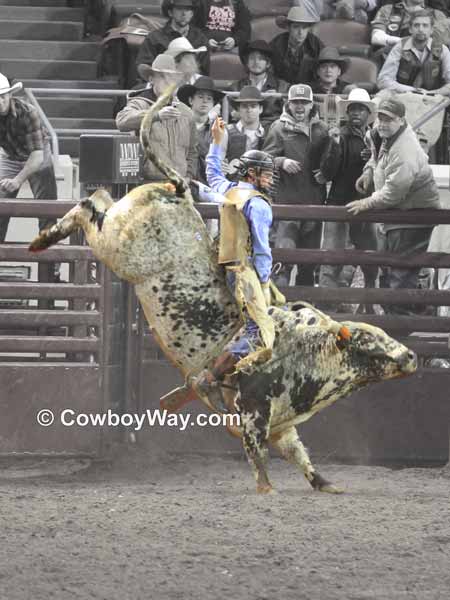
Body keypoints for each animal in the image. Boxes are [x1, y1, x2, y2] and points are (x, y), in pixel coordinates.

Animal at [29, 86, 418, 494]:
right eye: (367, 340)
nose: (410, 356)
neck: (309, 348)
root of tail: (177, 190)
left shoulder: (283, 425)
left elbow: (300, 456)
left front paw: (326, 484)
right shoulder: (253, 412)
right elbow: (258, 457)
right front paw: (267, 491)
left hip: (119, 227)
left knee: (100, 199)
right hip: (120, 249)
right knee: (88, 207)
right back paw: (44, 238)